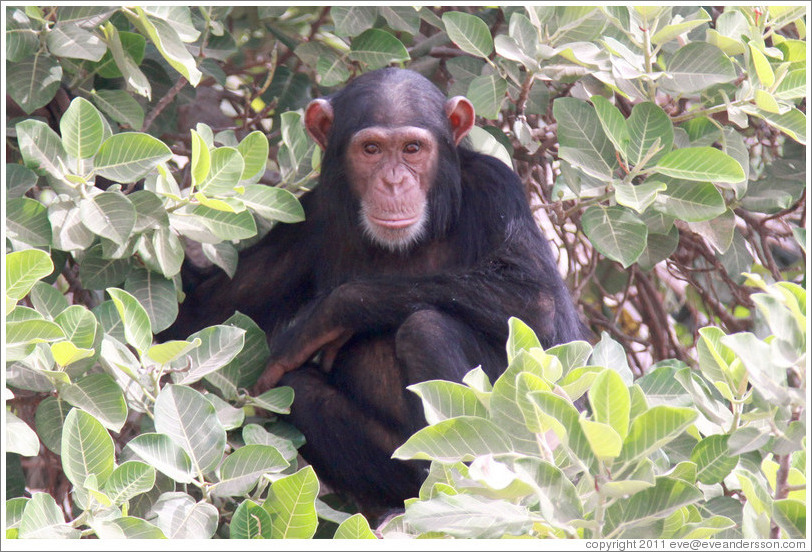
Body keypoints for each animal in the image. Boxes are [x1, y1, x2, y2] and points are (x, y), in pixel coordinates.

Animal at [163, 68, 584, 508]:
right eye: (371, 149)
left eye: (412, 148)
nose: (394, 181)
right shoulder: (309, 217)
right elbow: (199, 314)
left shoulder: (497, 188)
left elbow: (539, 306)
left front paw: (325, 316)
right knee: (296, 386)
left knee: (426, 330)